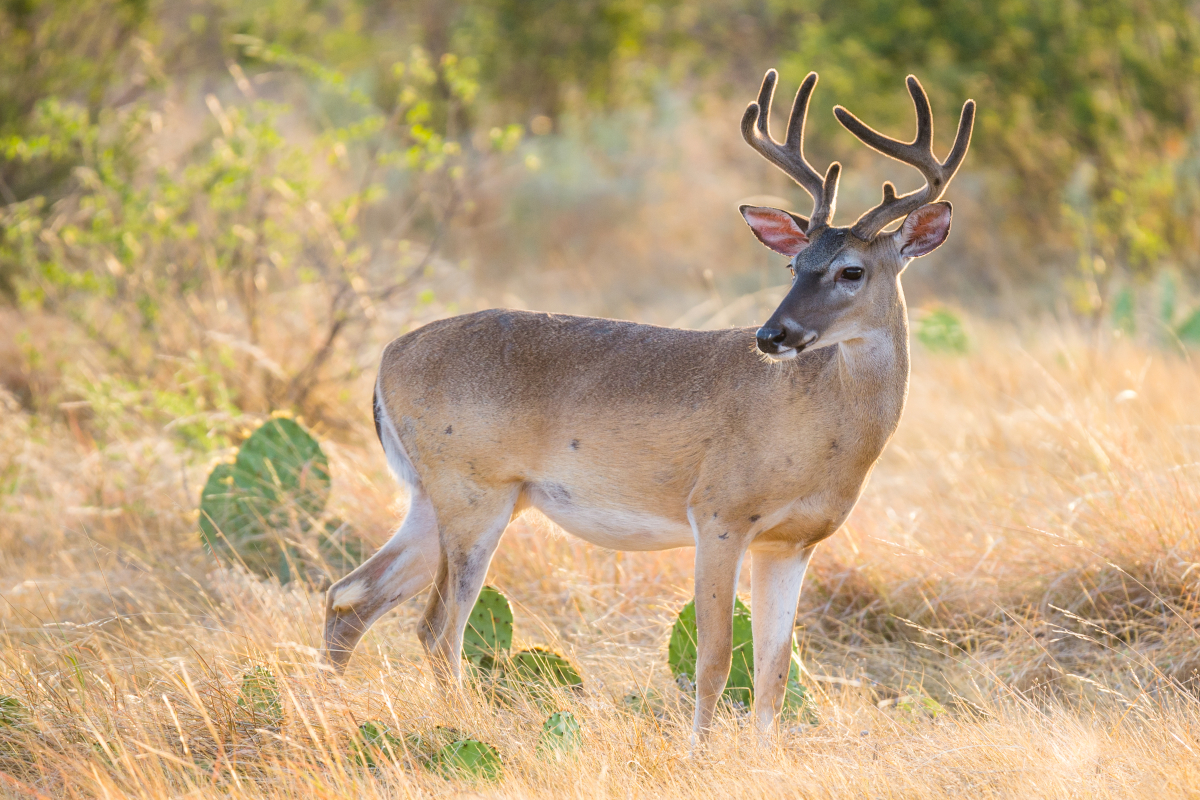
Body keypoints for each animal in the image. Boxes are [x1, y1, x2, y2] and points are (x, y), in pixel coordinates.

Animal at [324, 67, 969, 738]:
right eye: (794, 262)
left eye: (851, 271)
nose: (771, 335)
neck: (823, 430)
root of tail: (388, 357)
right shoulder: (718, 512)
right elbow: (716, 660)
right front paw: (700, 753)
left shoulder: (792, 543)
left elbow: (774, 673)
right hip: (474, 490)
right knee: (436, 628)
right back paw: (464, 728)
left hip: (438, 496)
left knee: (351, 595)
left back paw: (333, 706)